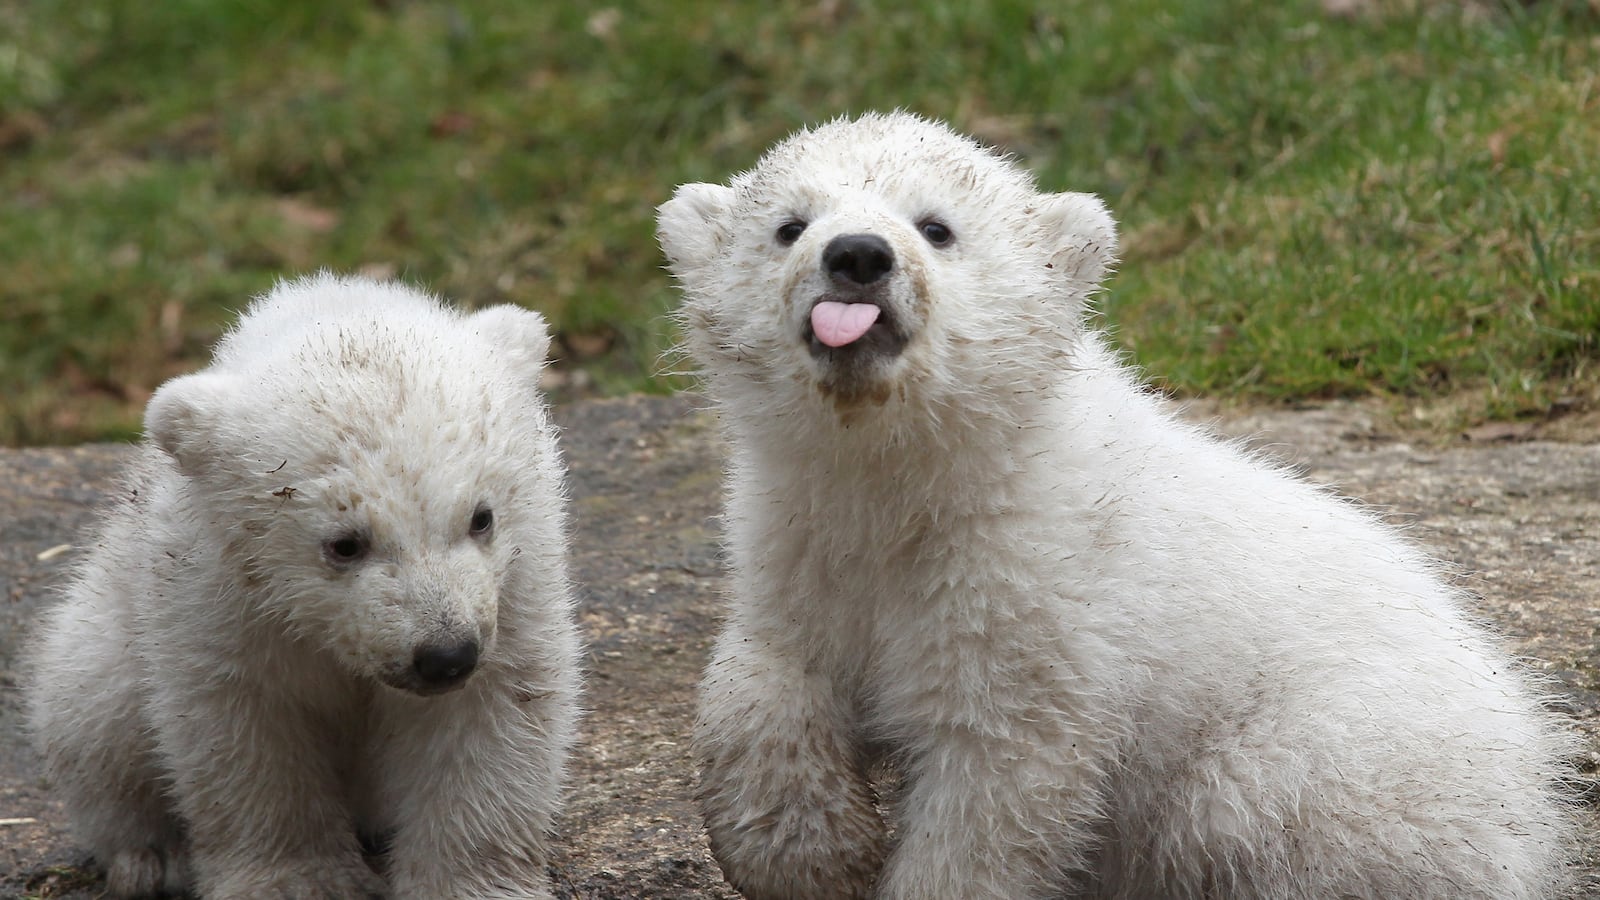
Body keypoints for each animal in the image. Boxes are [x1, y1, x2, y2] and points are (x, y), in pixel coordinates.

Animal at [27, 273, 582, 899]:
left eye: (481, 517)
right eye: (345, 543)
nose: (445, 655)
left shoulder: (520, 582)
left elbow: (492, 719)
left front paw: (467, 882)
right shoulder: (221, 595)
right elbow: (250, 736)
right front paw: (297, 880)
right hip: (99, 635)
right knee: (96, 719)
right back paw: (151, 857)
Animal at [657, 111, 1578, 900]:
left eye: (936, 227)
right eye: (788, 225)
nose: (856, 255)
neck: (916, 475)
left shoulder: (1039, 601)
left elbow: (997, 788)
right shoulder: (794, 531)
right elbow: (767, 669)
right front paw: (810, 853)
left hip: (1346, 762)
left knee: (1254, 815)